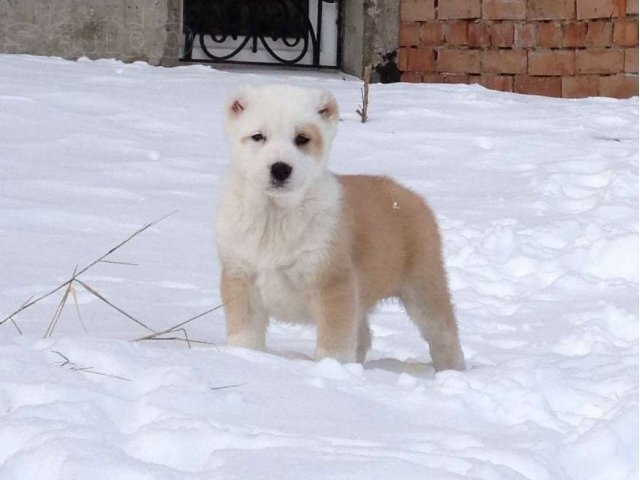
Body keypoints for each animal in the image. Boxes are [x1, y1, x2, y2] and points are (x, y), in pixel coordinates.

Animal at [216, 84, 464, 372]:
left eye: (301, 139)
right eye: (258, 137)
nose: (280, 169)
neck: (275, 216)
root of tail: (409, 195)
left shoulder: (334, 284)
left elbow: (335, 340)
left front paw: (330, 368)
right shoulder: (240, 278)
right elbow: (245, 334)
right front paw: (244, 357)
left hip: (424, 287)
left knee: (443, 333)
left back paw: (452, 370)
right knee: (364, 336)